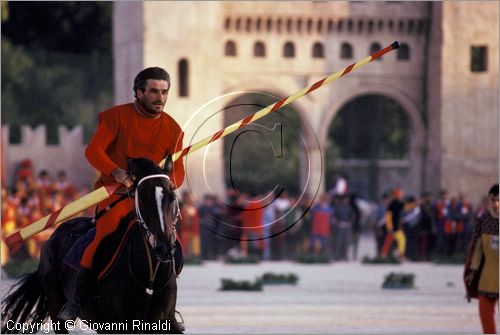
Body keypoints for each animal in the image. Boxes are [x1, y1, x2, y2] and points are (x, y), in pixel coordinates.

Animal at [1, 158, 182, 334]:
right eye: (143, 198)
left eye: (172, 197)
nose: (163, 247)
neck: (150, 278)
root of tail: (52, 237)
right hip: (55, 303)